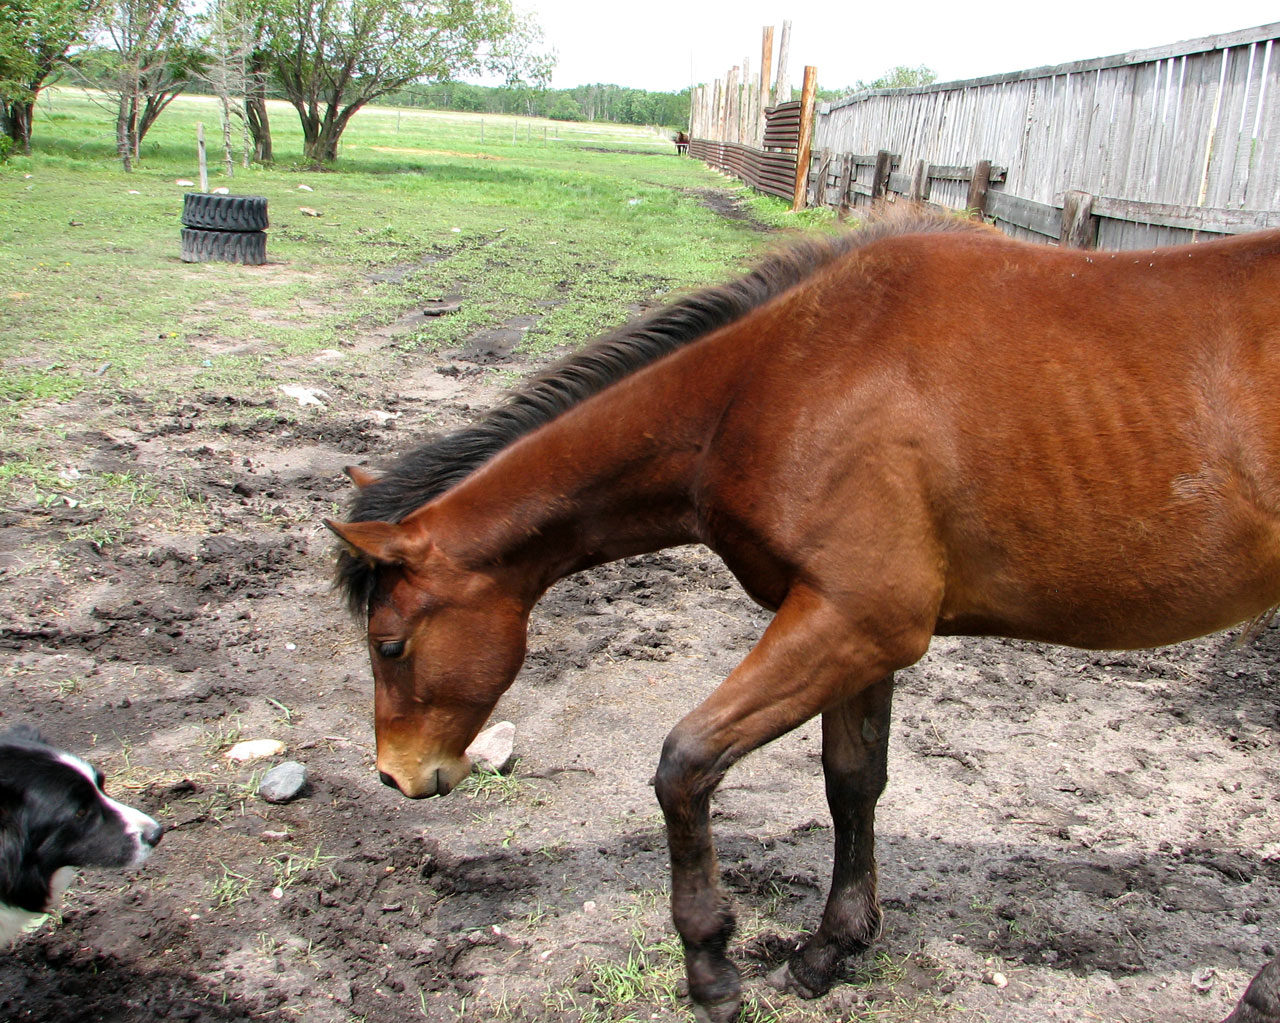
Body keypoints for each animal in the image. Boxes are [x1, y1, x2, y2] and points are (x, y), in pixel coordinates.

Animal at [327, 212, 1280, 1019]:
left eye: (391, 644)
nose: (397, 775)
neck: (780, 377)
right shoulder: (859, 634)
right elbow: (852, 781)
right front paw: (832, 948)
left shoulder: (854, 621)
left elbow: (686, 764)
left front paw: (712, 966)